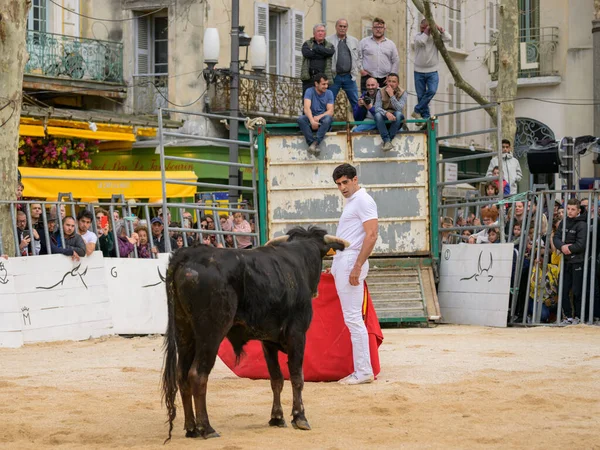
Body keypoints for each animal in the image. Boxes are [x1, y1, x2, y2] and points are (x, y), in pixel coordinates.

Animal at [162, 225, 350, 440]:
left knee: (182, 375)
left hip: (184, 332)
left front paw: (277, 417)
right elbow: (297, 377)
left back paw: (191, 428)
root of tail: (188, 255)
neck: (300, 257)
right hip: (211, 333)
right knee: (197, 374)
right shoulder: (298, 334)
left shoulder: (268, 341)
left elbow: (276, 379)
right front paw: (299, 417)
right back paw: (206, 428)